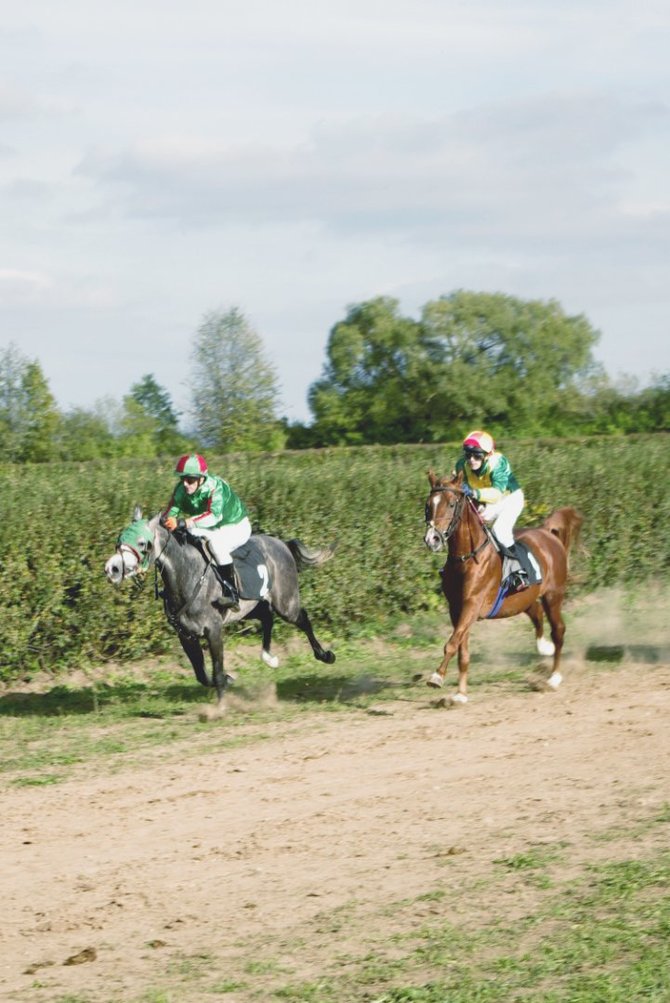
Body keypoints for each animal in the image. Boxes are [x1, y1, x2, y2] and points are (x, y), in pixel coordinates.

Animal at [103, 509, 335, 706]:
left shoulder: (213, 630)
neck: (188, 575)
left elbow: (216, 670)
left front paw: (220, 707)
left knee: (302, 618)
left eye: (142, 543)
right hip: (251, 607)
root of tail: (282, 544)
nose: (111, 568)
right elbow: (202, 675)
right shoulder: (186, 635)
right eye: (119, 541)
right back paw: (269, 658)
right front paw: (229, 679)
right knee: (267, 618)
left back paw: (325, 655)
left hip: (285, 602)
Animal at [427, 469, 581, 706]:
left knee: (558, 630)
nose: (432, 539)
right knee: (536, 612)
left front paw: (437, 677)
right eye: (428, 505)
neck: (466, 559)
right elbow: (462, 649)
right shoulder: (457, 609)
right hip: (523, 597)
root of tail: (546, 532)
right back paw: (543, 648)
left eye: (452, 504)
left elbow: (452, 644)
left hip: (553, 594)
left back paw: (553, 677)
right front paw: (460, 694)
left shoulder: (472, 604)